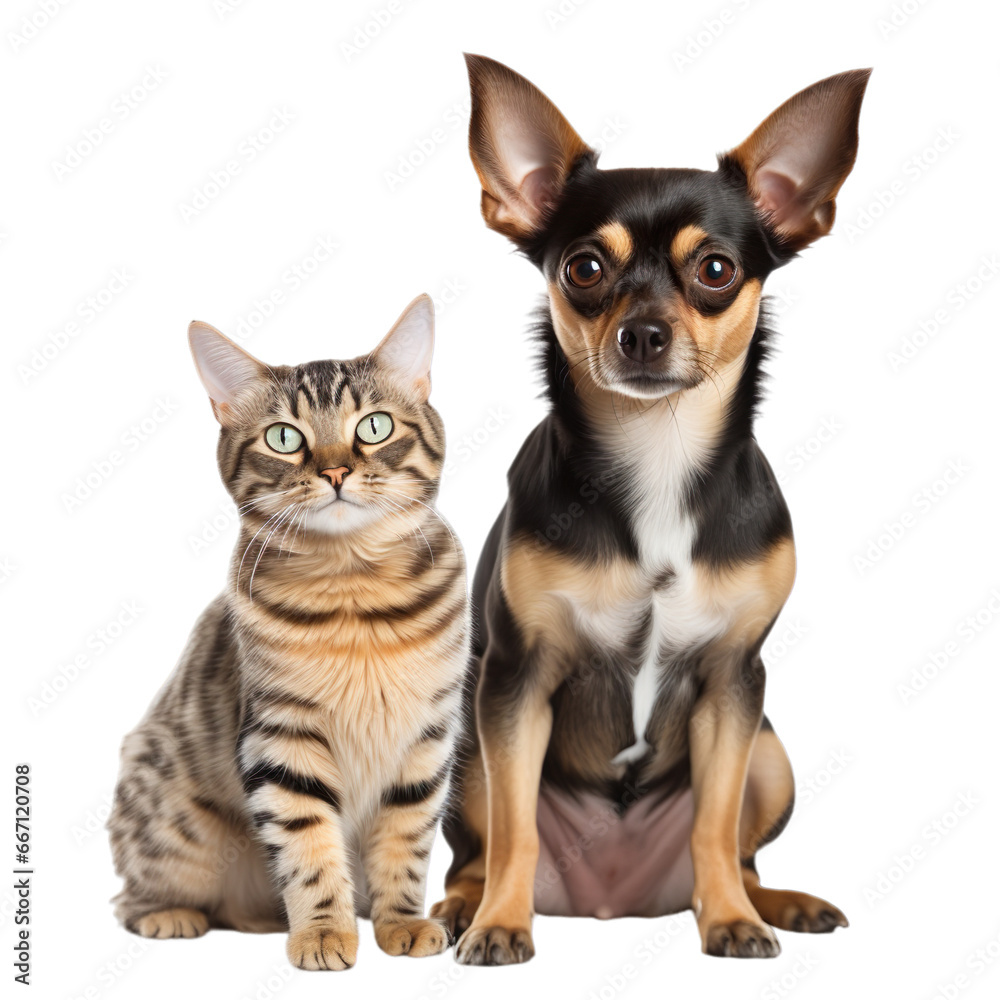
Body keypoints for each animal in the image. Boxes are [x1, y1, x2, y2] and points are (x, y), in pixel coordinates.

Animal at [109, 294, 468, 968]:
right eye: (284, 438)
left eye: (374, 427)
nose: (335, 472)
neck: (356, 599)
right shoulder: (282, 741)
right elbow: (309, 851)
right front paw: (324, 932)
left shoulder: (426, 738)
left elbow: (405, 846)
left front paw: (401, 923)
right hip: (170, 823)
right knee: (128, 897)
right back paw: (172, 915)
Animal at [434, 54, 872, 960]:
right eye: (584, 269)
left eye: (716, 271)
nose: (642, 332)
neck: (657, 454)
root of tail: (617, 901)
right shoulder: (515, 683)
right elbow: (516, 830)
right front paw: (500, 924)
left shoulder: (735, 681)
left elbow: (713, 822)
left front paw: (732, 922)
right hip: (467, 753)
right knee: (479, 849)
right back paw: (465, 907)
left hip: (769, 751)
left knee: (739, 851)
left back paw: (767, 902)